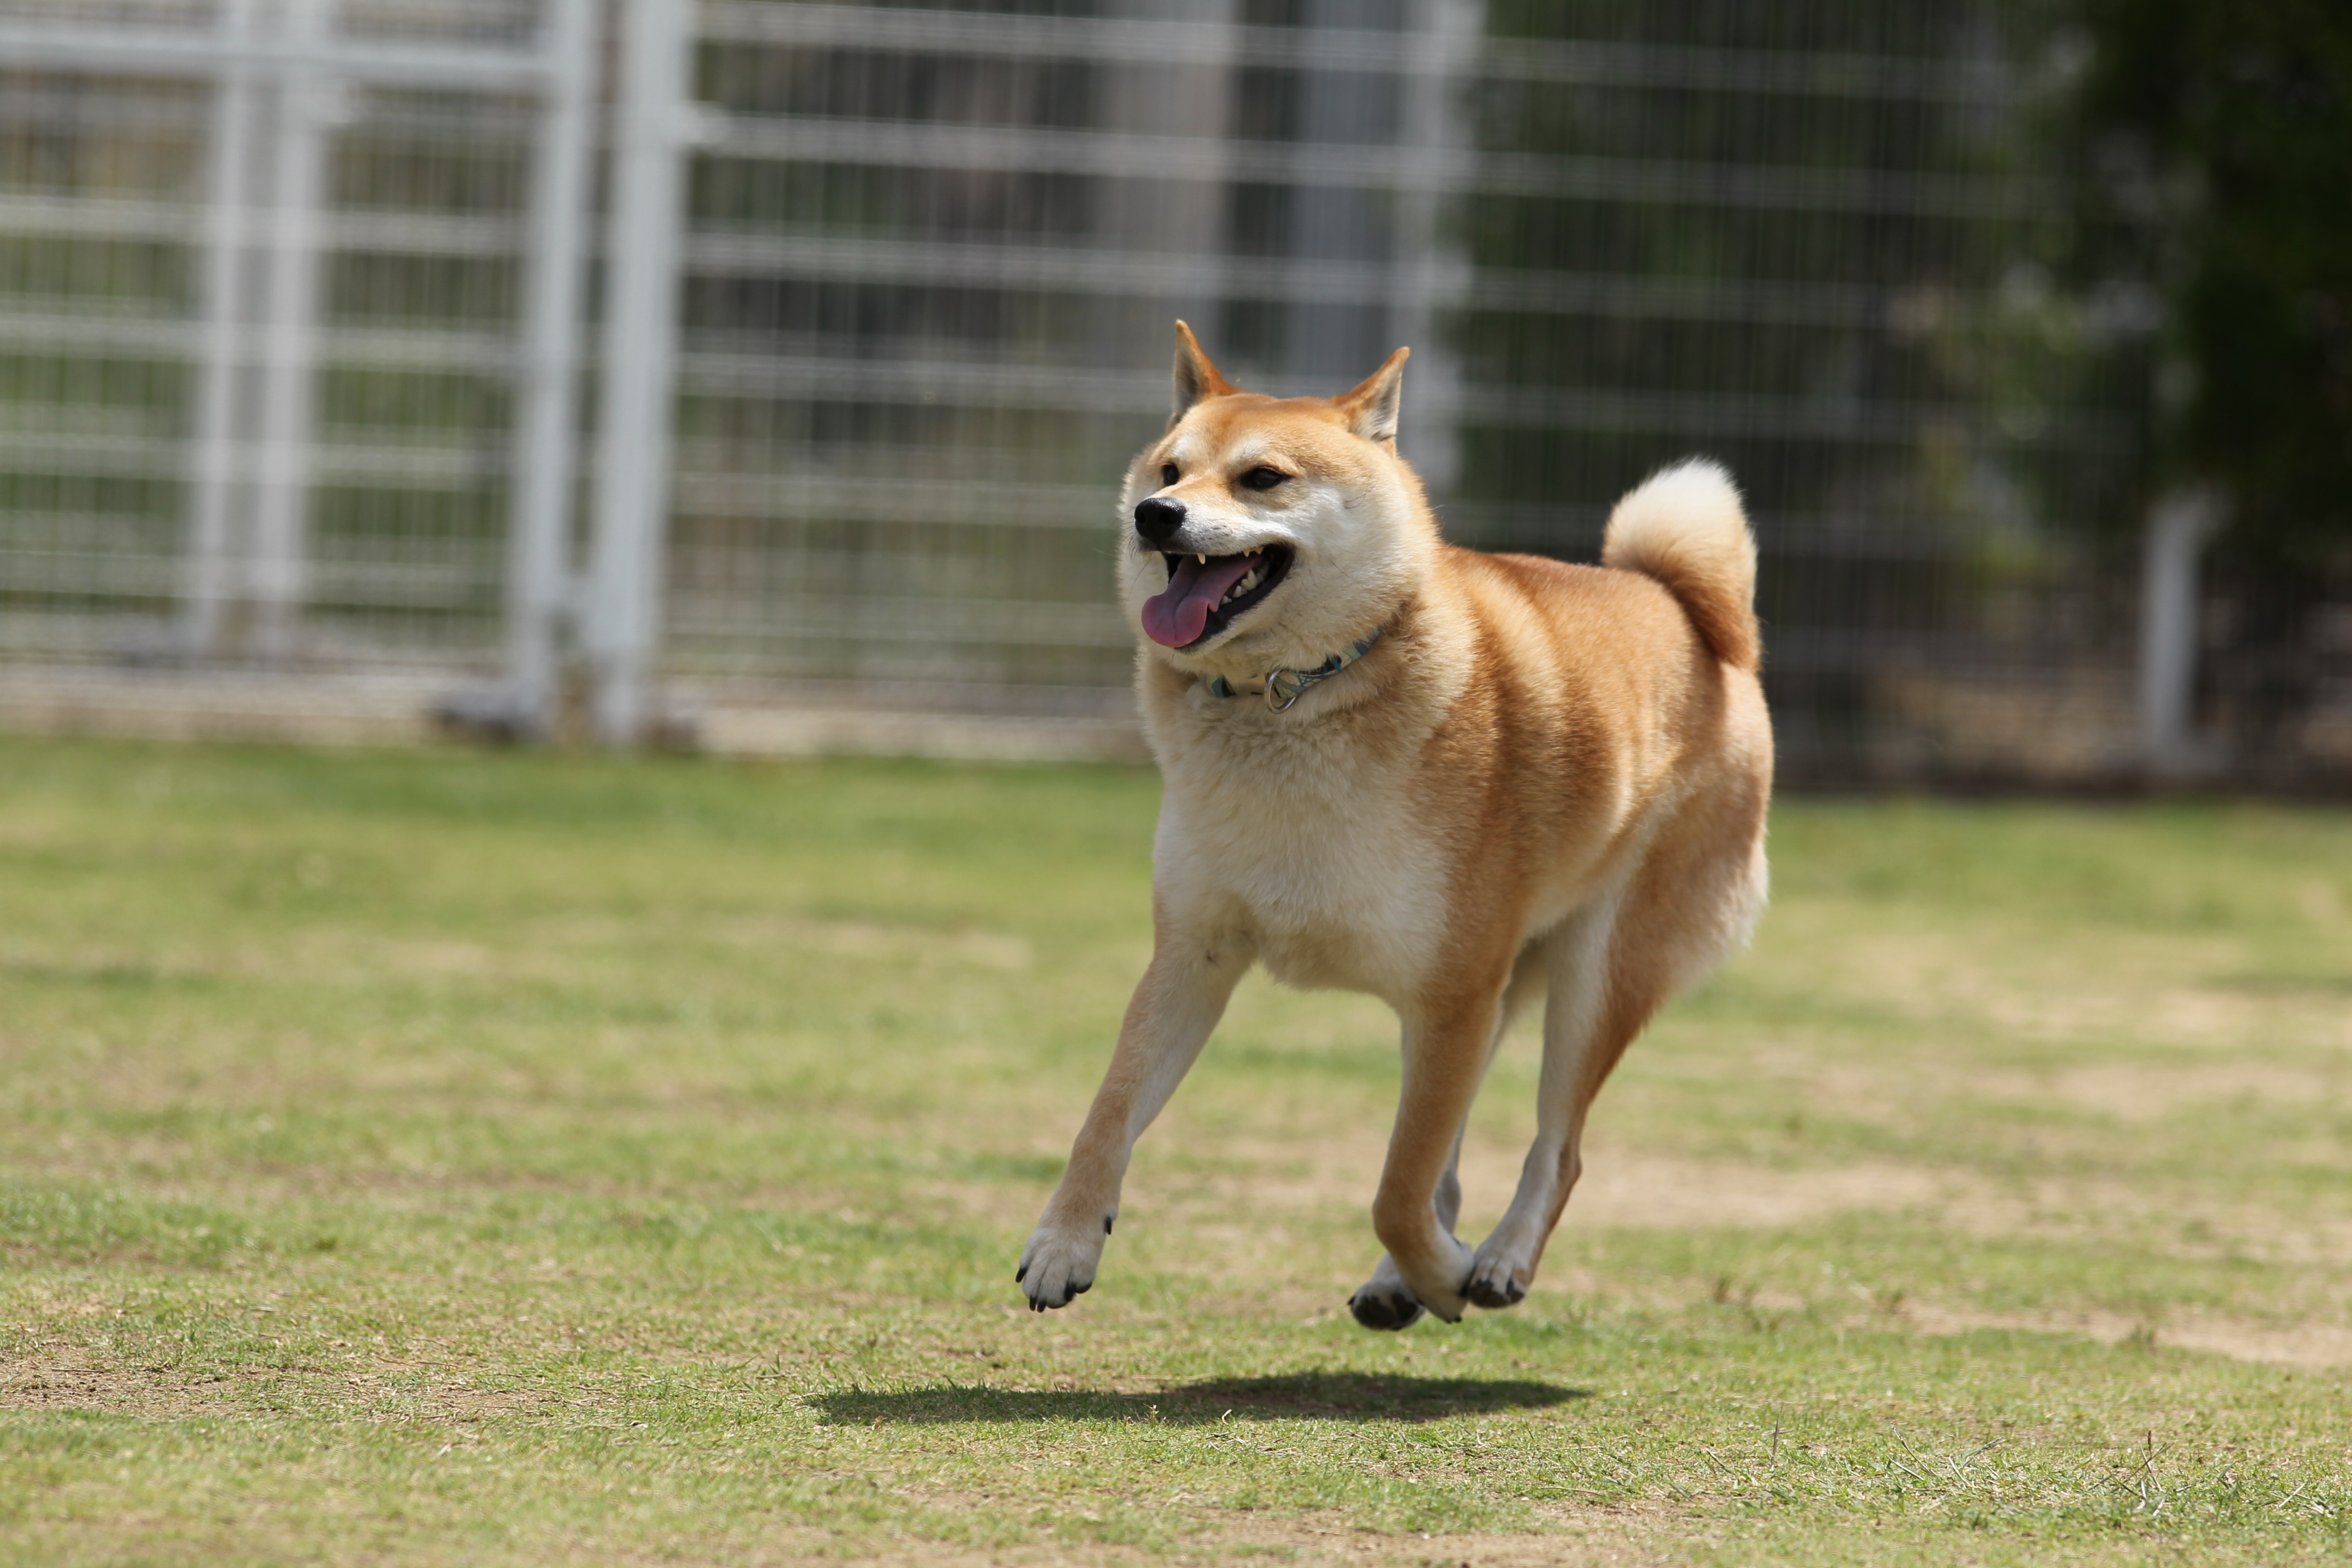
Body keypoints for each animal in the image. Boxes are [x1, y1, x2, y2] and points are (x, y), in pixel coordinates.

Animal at [1011, 324, 1768, 1335]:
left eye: (1261, 477)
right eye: (1169, 469)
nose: (1154, 515)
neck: (1295, 694)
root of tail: (1689, 611)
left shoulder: (1449, 995)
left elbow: (1396, 1189)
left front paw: (1446, 1272)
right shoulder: (1193, 955)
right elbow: (1106, 1113)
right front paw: (1065, 1240)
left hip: (1594, 976)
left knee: (1556, 1149)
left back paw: (1495, 1260)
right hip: (1500, 993)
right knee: (1460, 1159)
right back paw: (1400, 1277)